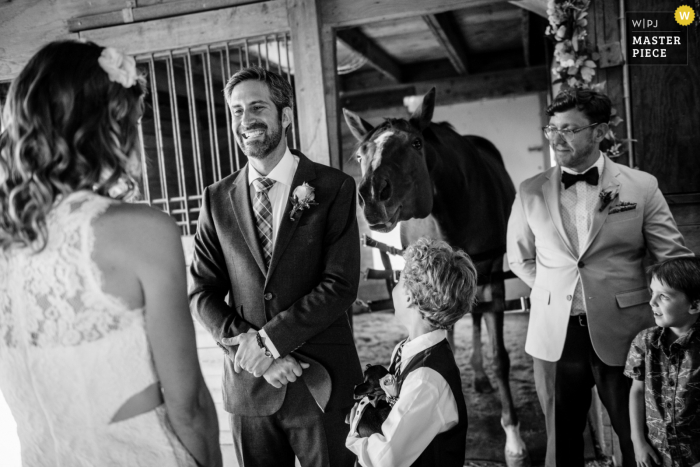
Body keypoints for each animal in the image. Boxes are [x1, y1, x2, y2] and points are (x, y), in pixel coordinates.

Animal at [344, 87, 532, 464]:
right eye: (360, 154)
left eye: (416, 143)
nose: (371, 196)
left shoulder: (493, 275)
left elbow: (500, 357)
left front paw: (513, 439)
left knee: (476, 318)